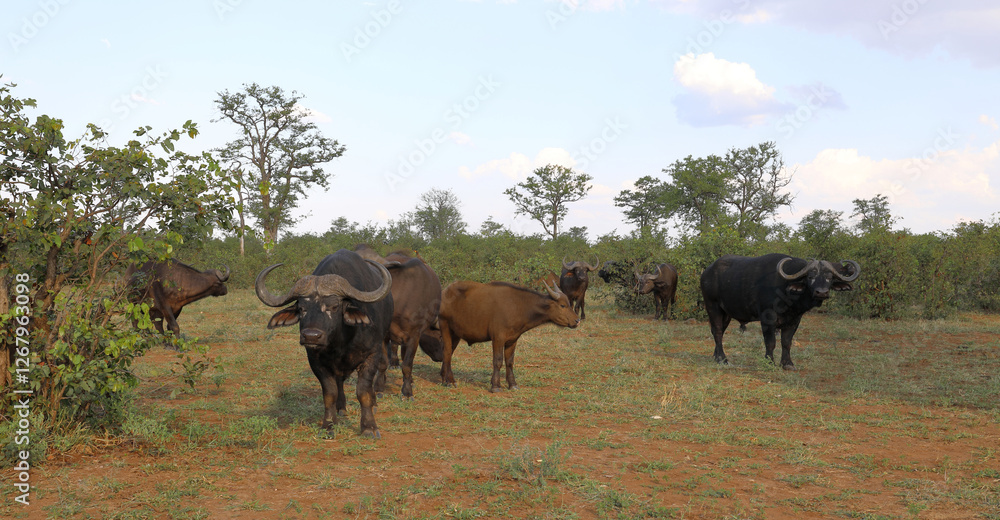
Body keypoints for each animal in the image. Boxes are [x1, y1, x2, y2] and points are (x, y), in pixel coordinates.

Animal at [255, 250, 393, 437]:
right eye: (301, 308)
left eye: (334, 306)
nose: (311, 336)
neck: (341, 342)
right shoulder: (316, 361)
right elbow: (330, 394)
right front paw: (328, 425)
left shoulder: (372, 355)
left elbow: (363, 391)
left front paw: (369, 427)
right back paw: (341, 408)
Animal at [438, 281, 580, 392]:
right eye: (562, 305)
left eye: (569, 304)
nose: (577, 320)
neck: (519, 306)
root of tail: (445, 292)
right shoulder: (498, 338)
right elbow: (498, 361)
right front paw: (495, 386)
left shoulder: (512, 340)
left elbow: (510, 362)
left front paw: (513, 384)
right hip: (444, 326)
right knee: (446, 352)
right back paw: (450, 381)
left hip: (456, 334)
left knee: (448, 353)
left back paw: (444, 378)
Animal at [700, 253, 860, 370]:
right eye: (810, 276)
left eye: (829, 277)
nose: (821, 292)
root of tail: (706, 272)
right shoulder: (768, 319)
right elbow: (770, 342)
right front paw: (770, 362)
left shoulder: (794, 321)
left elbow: (786, 342)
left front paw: (787, 364)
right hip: (713, 307)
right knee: (718, 331)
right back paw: (722, 359)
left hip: (726, 313)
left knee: (718, 332)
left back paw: (715, 355)